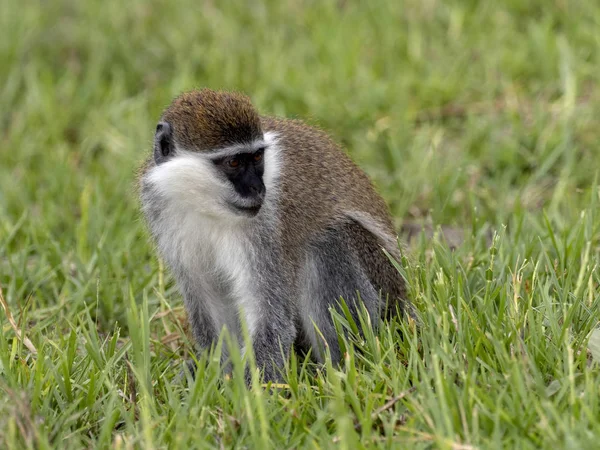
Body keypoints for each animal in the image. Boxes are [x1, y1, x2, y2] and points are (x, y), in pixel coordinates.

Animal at [139, 89, 410, 384]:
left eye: (258, 158)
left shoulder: (265, 227)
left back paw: (338, 371)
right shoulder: (162, 211)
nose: (258, 189)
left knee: (331, 240)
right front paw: (214, 377)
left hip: (383, 279)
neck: (208, 206)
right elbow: (212, 309)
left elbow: (271, 319)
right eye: (234, 162)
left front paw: (252, 392)